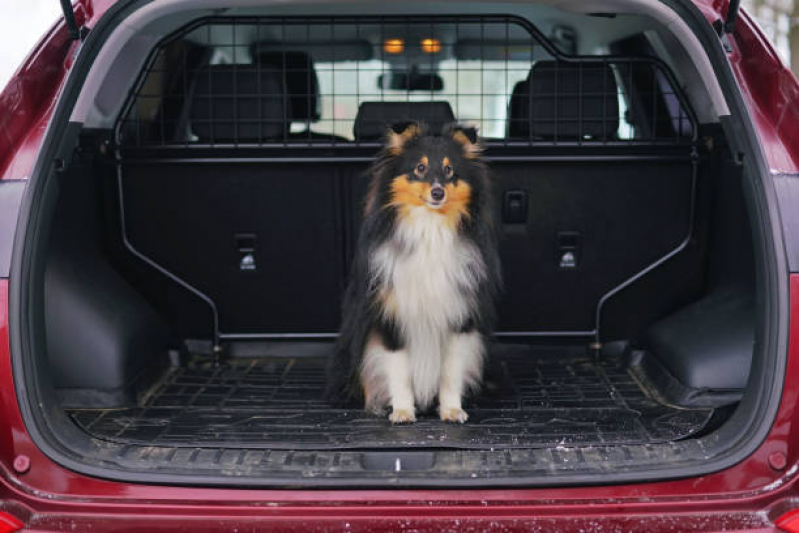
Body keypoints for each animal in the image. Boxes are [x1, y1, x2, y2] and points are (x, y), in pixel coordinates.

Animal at [324, 121, 500, 424]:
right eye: (419, 168)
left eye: (449, 170)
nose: (438, 193)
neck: (429, 227)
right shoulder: (391, 315)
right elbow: (399, 369)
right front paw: (403, 412)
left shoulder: (459, 316)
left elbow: (451, 371)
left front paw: (452, 410)